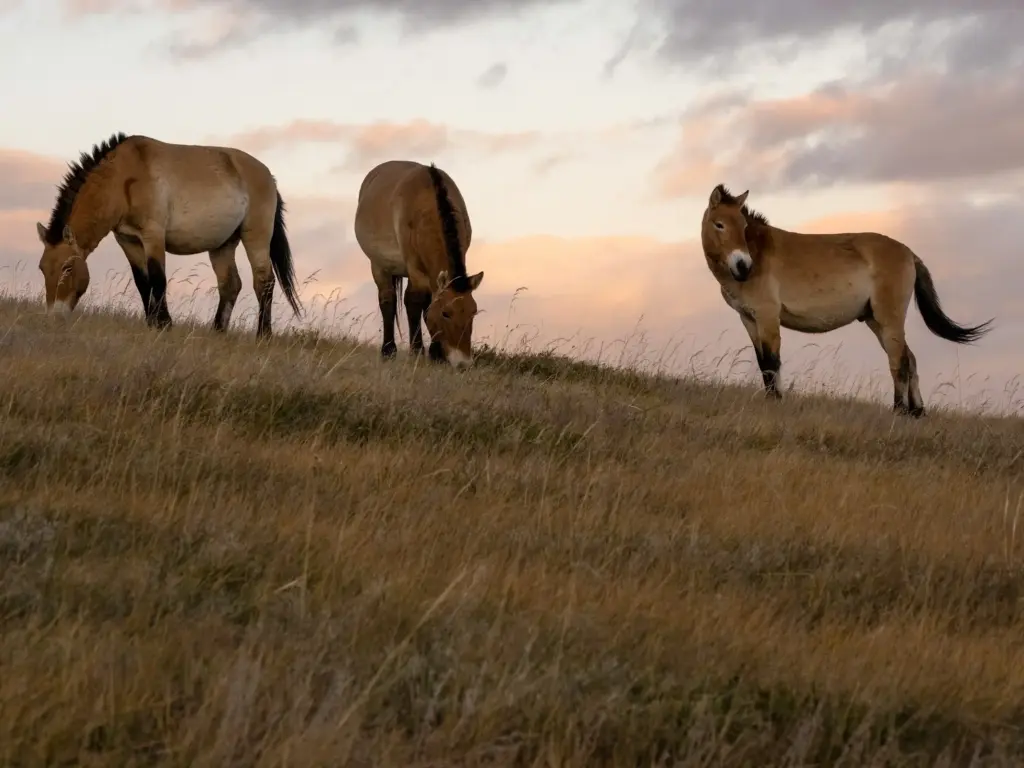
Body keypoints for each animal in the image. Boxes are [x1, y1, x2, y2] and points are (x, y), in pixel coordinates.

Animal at [36, 132, 303, 337]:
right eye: (42, 268)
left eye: (67, 268)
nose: (53, 318)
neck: (123, 179)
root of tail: (269, 177)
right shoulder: (128, 241)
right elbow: (142, 282)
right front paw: (151, 323)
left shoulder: (153, 236)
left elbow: (158, 279)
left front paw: (165, 324)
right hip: (223, 245)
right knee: (230, 284)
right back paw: (218, 331)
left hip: (255, 237)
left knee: (264, 282)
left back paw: (263, 335)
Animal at [353, 160, 483, 369]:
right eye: (446, 313)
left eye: (473, 312)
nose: (463, 363)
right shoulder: (415, 270)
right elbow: (414, 302)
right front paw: (417, 351)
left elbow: (427, 307)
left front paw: (436, 353)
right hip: (379, 266)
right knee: (388, 301)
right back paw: (388, 350)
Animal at [700, 184, 993, 417]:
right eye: (719, 224)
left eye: (743, 226)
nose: (742, 266)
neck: (759, 255)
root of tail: (909, 253)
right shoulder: (749, 319)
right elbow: (763, 363)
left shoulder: (768, 318)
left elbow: (773, 362)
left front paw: (777, 401)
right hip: (875, 321)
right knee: (910, 359)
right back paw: (917, 412)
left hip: (889, 320)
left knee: (899, 361)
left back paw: (899, 411)